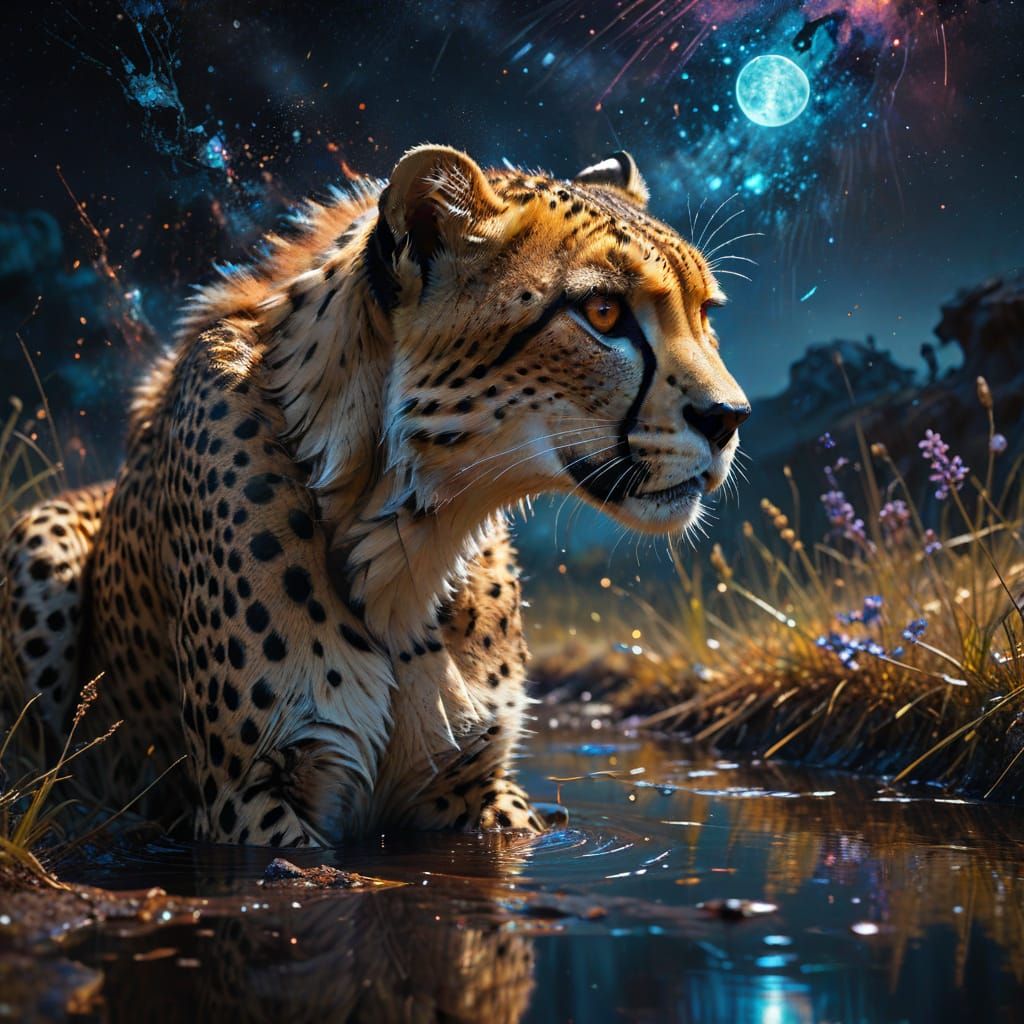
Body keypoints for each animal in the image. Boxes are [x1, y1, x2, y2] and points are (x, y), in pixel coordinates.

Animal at [0, 145, 749, 846]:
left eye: (707, 313)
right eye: (603, 311)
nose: (730, 417)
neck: (405, 530)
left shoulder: (476, 786)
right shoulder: (252, 802)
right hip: (38, 542)